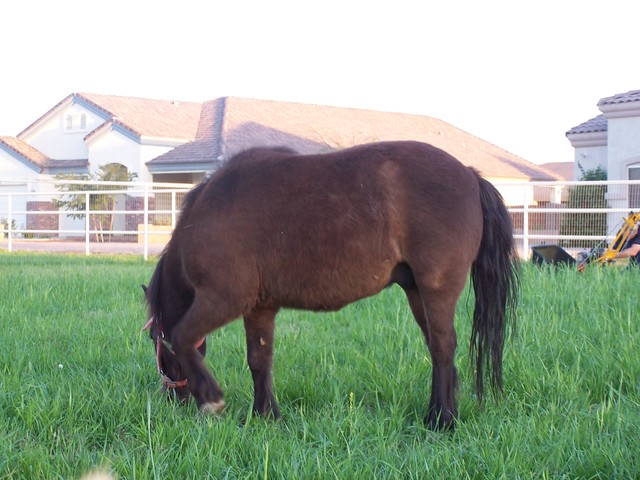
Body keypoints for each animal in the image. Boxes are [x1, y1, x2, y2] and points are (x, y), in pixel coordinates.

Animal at [143, 140, 519, 430]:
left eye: (154, 339)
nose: (172, 397)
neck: (207, 213)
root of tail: (470, 175)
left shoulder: (223, 299)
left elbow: (184, 336)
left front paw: (212, 399)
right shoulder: (260, 308)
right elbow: (259, 360)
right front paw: (265, 416)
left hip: (436, 289)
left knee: (443, 347)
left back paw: (442, 420)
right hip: (417, 293)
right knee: (439, 349)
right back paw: (440, 413)